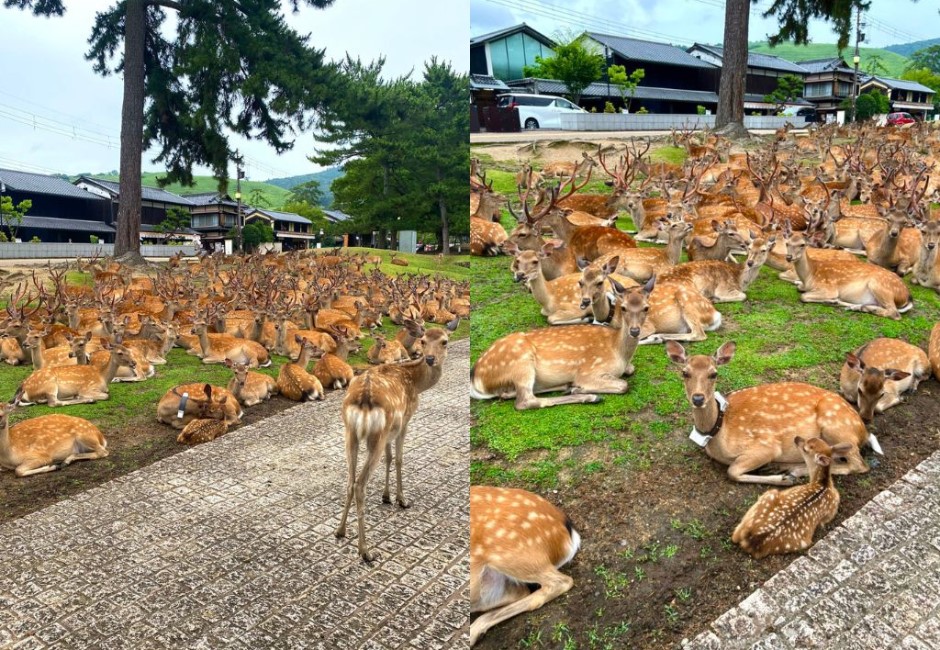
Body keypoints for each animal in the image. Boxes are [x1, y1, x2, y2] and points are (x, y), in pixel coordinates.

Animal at [334, 316, 458, 560]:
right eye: (423, 340)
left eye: (444, 341)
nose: (430, 359)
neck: (416, 384)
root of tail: (363, 399)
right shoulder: (405, 421)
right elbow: (400, 459)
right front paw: (402, 500)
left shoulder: (391, 431)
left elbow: (389, 458)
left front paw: (386, 496)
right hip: (377, 435)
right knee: (360, 484)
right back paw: (365, 551)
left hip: (350, 433)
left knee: (350, 481)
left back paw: (340, 531)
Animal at [470, 280, 652, 410]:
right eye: (623, 307)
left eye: (646, 308)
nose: (634, 331)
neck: (618, 352)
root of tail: (476, 377)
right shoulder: (588, 370)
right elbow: (624, 385)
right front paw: (580, 388)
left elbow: (631, 369)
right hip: (520, 363)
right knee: (525, 401)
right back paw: (588, 395)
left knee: (509, 394)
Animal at [664, 336, 872, 484]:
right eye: (685, 373)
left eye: (713, 373)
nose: (698, 398)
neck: (718, 430)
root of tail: (863, 432)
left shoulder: (766, 445)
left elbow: (732, 471)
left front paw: (784, 479)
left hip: (836, 427)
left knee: (858, 465)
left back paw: (791, 471)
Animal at [784, 227, 916, 320]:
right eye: (787, 243)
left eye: (802, 244)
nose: (789, 257)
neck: (810, 275)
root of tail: (907, 296)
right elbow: (800, 288)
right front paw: (832, 301)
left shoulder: (829, 287)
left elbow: (803, 296)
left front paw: (830, 300)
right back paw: (854, 306)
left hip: (880, 286)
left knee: (895, 313)